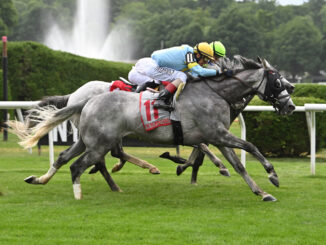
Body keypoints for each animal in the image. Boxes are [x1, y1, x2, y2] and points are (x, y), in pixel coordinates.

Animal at [13, 56, 296, 201]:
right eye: (278, 79)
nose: (291, 104)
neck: (215, 92)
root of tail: (83, 99)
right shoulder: (215, 134)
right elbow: (250, 146)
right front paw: (272, 174)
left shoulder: (217, 136)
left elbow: (238, 165)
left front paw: (261, 191)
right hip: (99, 143)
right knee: (83, 164)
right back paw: (83, 192)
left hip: (88, 140)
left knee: (64, 157)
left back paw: (39, 179)